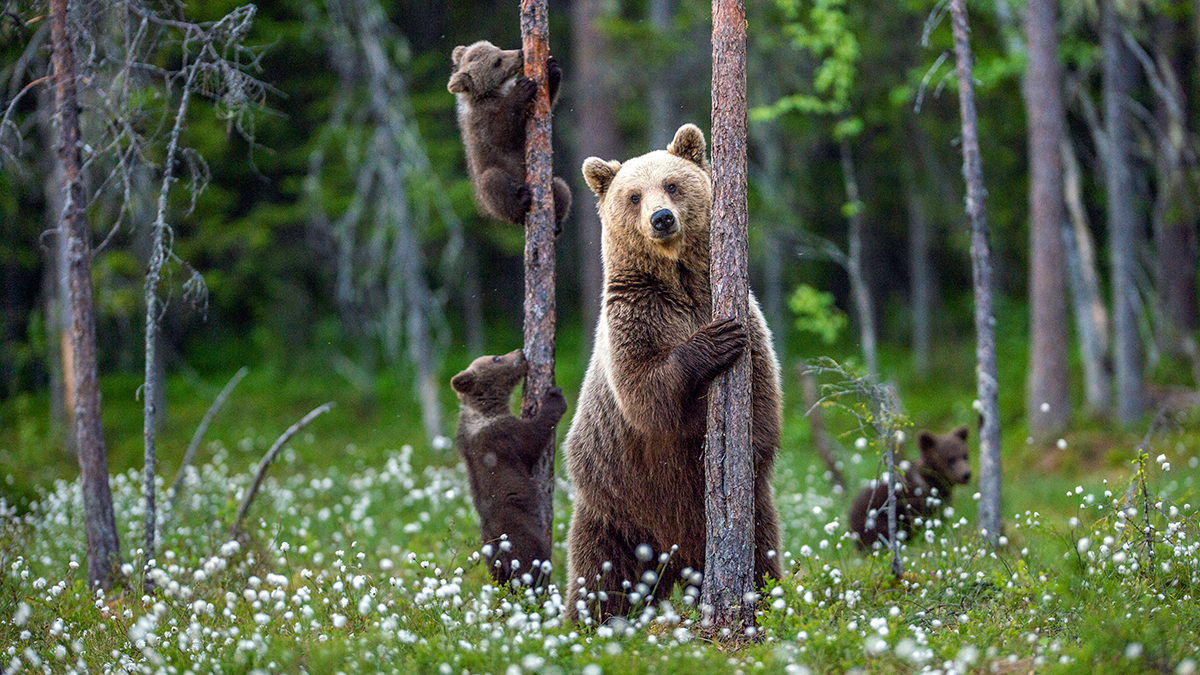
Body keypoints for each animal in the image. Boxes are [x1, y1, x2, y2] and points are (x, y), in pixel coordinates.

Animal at [448, 40, 571, 232]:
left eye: (497, 48)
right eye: (497, 62)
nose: (520, 52)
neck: (492, 93)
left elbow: (546, 102)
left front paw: (552, 69)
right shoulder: (483, 121)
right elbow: (503, 132)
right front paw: (523, 88)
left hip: (552, 184)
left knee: (561, 187)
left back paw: (557, 222)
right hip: (490, 187)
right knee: (493, 183)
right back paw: (521, 202)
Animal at [450, 349, 568, 585]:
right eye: (496, 358)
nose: (520, 352)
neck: (486, 410)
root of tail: (498, 548)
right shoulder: (503, 436)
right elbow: (533, 438)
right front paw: (554, 396)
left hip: (489, 557)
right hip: (521, 537)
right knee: (532, 566)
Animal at [563, 124, 783, 624]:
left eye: (673, 184)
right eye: (633, 195)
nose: (661, 218)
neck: (678, 281)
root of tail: (675, 559)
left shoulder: (744, 313)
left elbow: (762, 397)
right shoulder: (635, 317)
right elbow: (646, 393)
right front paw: (714, 342)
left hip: (750, 517)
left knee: (762, 554)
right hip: (615, 508)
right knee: (599, 576)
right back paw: (587, 623)